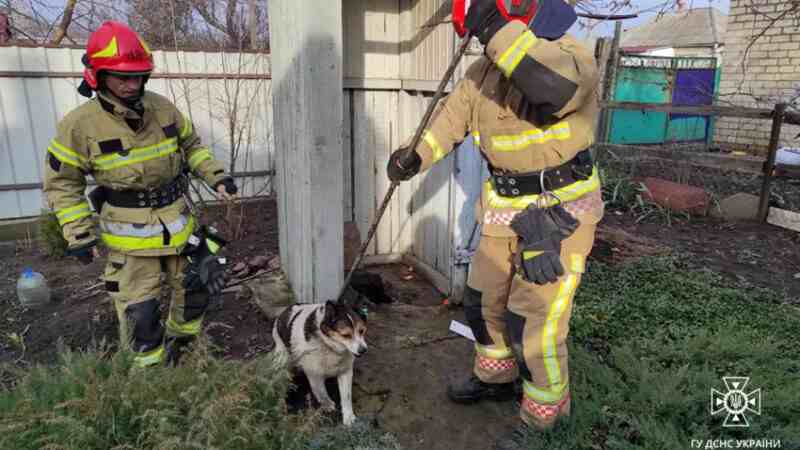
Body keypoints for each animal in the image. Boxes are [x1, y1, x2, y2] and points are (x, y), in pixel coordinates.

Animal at [270, 298, 368, 426]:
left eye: (361, 331)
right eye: (346, 335)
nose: (363, 350)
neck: (328, 346)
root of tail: (283, 312)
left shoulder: (345, 371)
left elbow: (346, 396)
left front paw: (348, 416)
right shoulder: (314, 374)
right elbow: (320, 392)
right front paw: (328, 405)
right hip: (283, 359)